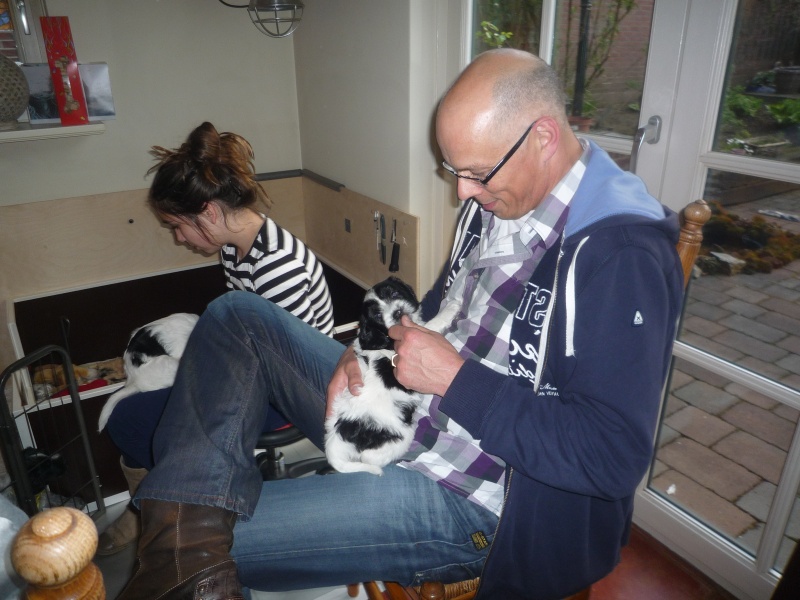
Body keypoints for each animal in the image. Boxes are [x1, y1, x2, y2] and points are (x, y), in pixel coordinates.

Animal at [324, 277, 461, 476]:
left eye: (394, 293)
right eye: (377, 315)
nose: (397, 312)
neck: (383, 338)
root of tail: (338, 436)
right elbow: (431, 328)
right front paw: (451, 307)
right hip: (399, 436)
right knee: (370, 457)